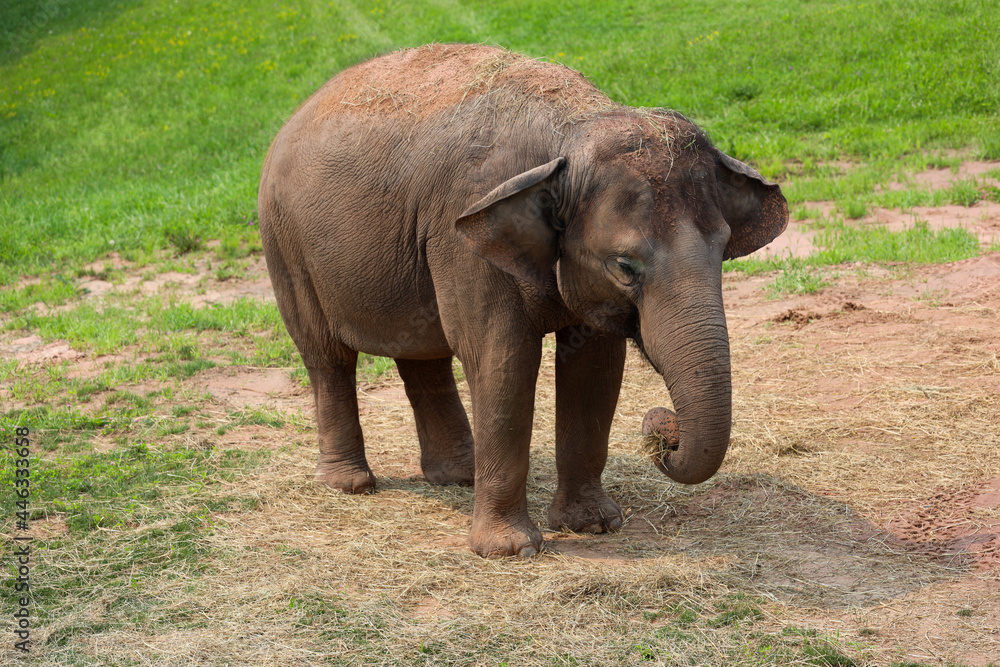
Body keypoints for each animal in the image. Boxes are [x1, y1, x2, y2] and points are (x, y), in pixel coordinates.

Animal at [258, 44, 787, 558]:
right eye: (624, 267)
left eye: (723, 249)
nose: (662, 428)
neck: (569, 132)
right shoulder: (463, 239)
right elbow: (503, 360)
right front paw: (510, 550)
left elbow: (595, 369)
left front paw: (594, 525)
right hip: (285, 242)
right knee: (327, 356)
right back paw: (349, 484)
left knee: (422, 354)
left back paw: (459, 476)